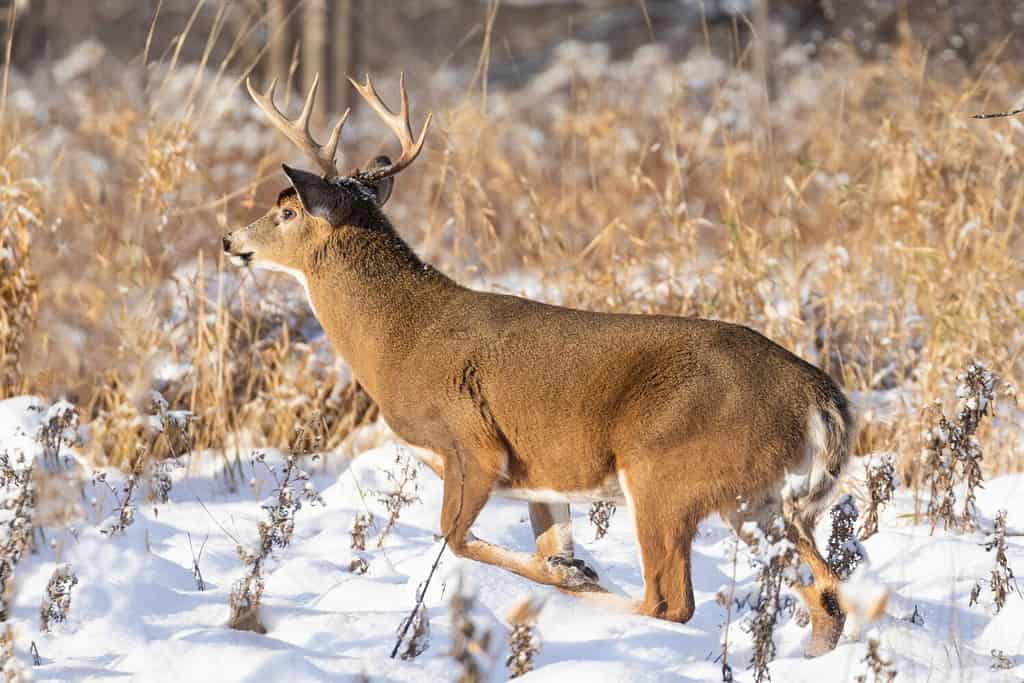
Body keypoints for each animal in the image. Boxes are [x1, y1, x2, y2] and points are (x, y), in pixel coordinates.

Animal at [222, 72, 855, 657]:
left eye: (285, 210)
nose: (229, 239)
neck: (398, 340)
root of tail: (818, 396)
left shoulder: (473, 444)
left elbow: (454, 536)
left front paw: (573, 575)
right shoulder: (542, 477)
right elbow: (544, 542)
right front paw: (567, 568)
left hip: (665, 470)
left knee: (670, 599)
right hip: (757, 498)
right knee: (826, 593)